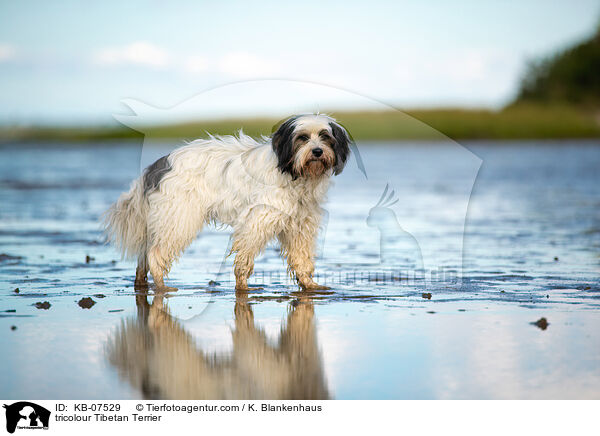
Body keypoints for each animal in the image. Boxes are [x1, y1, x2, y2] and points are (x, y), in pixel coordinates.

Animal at [101, 114, 350, 292]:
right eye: (302, 138)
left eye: (325, 137)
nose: (317, 151)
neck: (292, 173)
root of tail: (158, 166)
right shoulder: (257, 220)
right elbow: (245, 256)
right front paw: (243, 287)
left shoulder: (300, 225)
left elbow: (302, 258)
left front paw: (310, 285)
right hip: (179, 218)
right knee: (155, 253)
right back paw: (162, 286)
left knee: (144, 254)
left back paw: (141, 283)